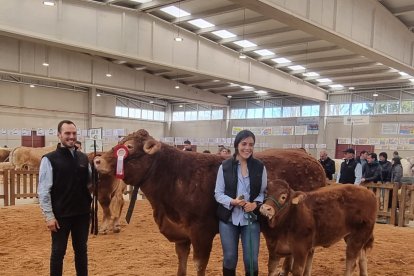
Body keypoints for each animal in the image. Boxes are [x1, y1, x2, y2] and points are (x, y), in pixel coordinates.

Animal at [94, 130, 326, 276]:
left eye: (129, 146)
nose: (97, 160)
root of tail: (308, 157)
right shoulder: (181, 235)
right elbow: (181, 264)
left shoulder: (201, 232)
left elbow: (199, 265)